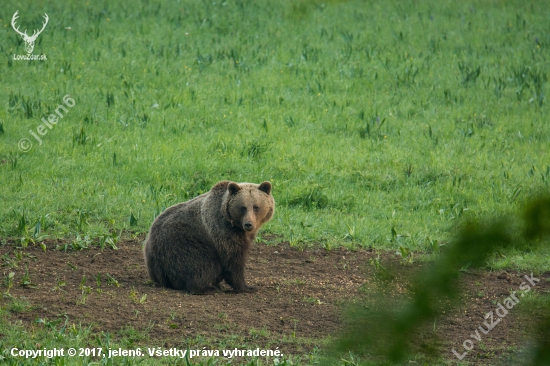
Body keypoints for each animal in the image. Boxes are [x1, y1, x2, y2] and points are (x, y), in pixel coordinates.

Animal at [146, 180, 278, 294]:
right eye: (243, 207)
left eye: (256, 207)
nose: (248, 224)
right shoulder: (223, 231)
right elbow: (233, 260)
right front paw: (247, 287)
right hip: (181, 244)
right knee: (204, 266)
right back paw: (206, 288)